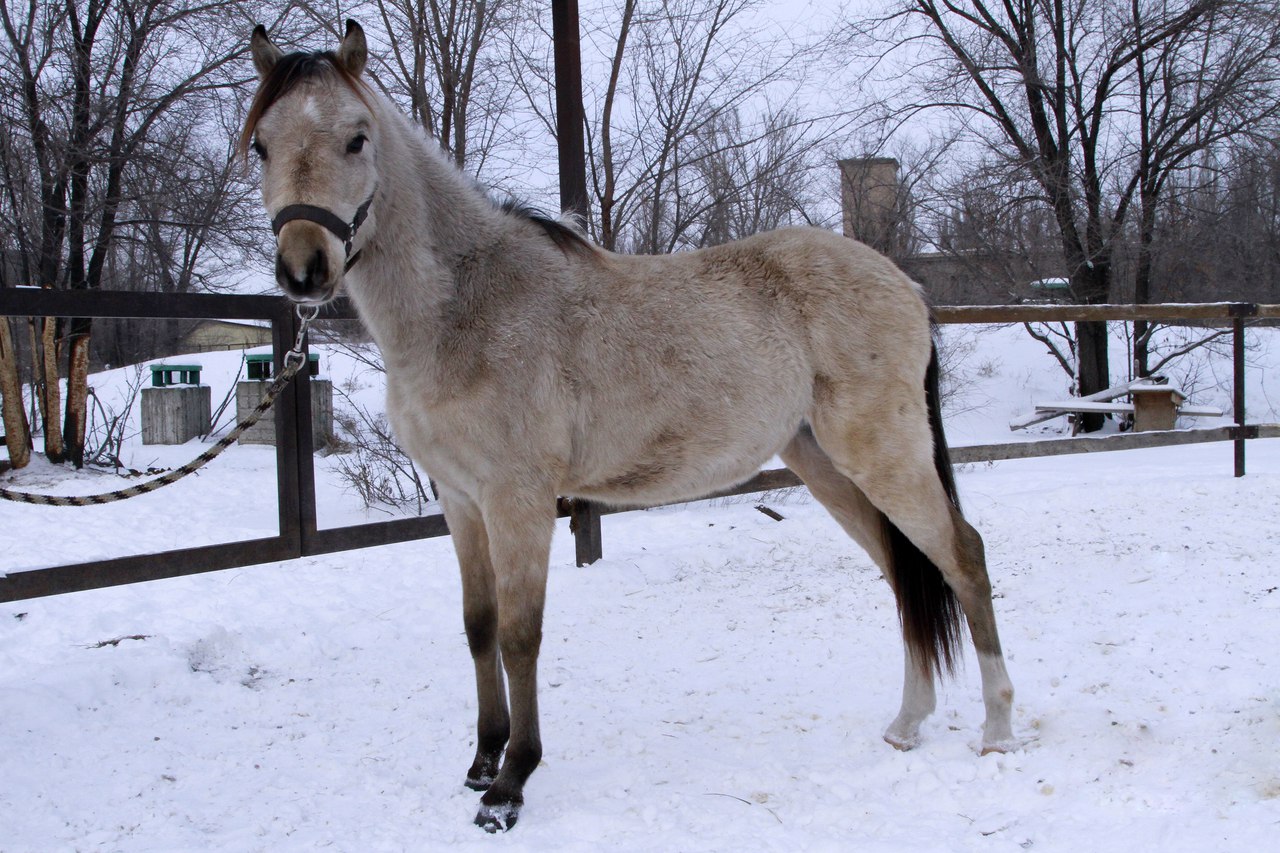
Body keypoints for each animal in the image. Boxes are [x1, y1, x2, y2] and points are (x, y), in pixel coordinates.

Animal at [244, 20, 1016, 832]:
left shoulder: (518, 501)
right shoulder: (460, 500)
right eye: (261, 144)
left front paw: (510, 784)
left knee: (961, 556)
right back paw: (907, 723)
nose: (304, 269)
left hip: (883, 454)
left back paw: (998, 728)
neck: (470, 305)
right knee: (904, 569)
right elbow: (479, 625)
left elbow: (520, 635)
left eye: (357, 139)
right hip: (825, 465)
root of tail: (905, 283)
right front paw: (482, 758)